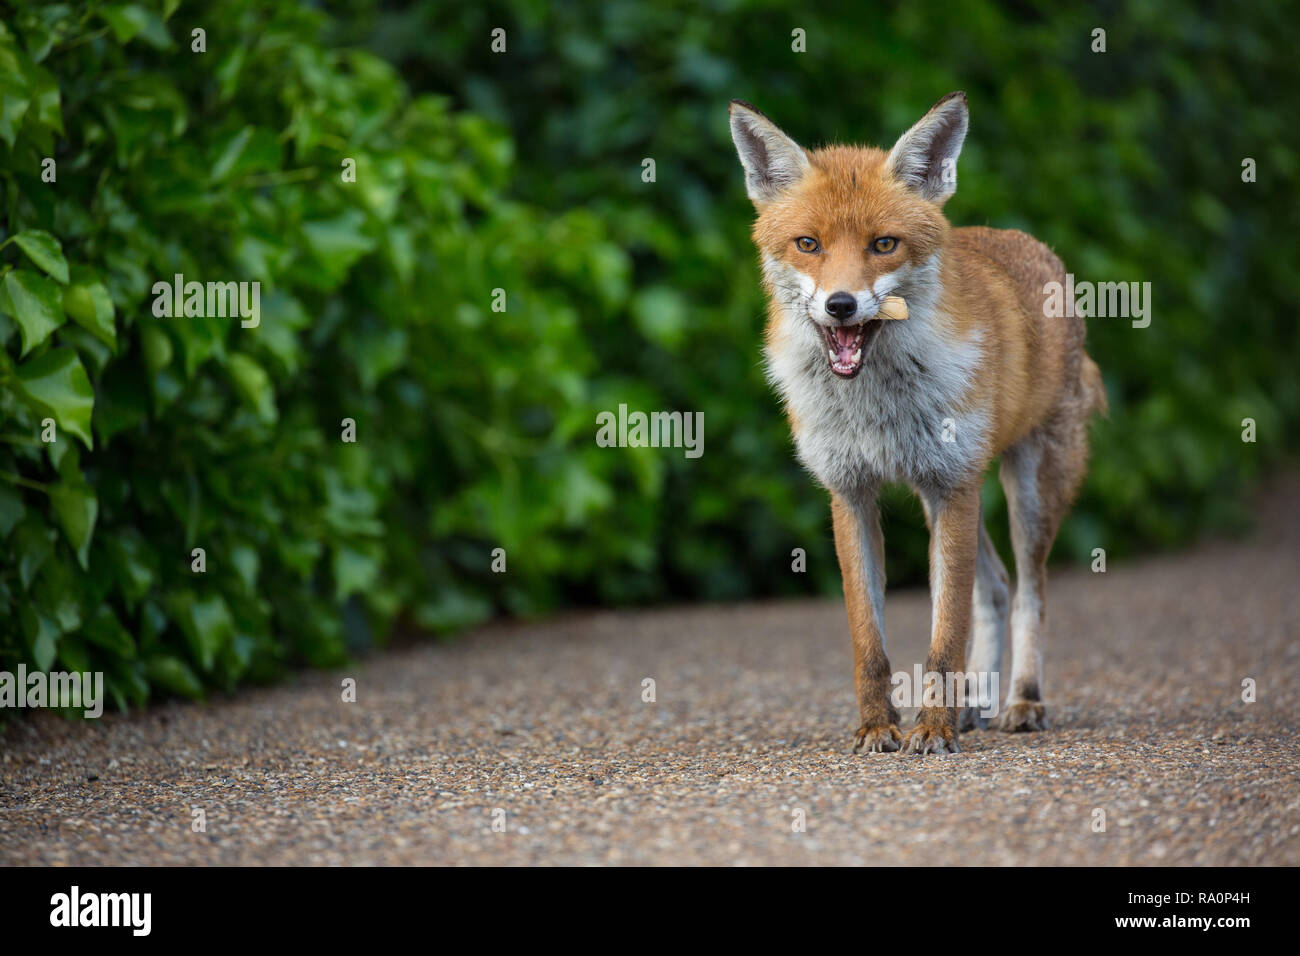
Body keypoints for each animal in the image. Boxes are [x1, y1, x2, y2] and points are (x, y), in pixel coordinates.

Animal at [733, 91, 1107, 754]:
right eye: (809, 244)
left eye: (884, 245)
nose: (841, 305)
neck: (875, 407)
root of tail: (1037, 249)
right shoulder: (852, 492)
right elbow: (870, 641)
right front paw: (878, 727)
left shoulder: (950, 485)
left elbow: (944, 638)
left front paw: (932, 728)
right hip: (963, 497)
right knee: (996, 587)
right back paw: (975, 704)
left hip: (1024, 491)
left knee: (1029, 593)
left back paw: (1021, 701)